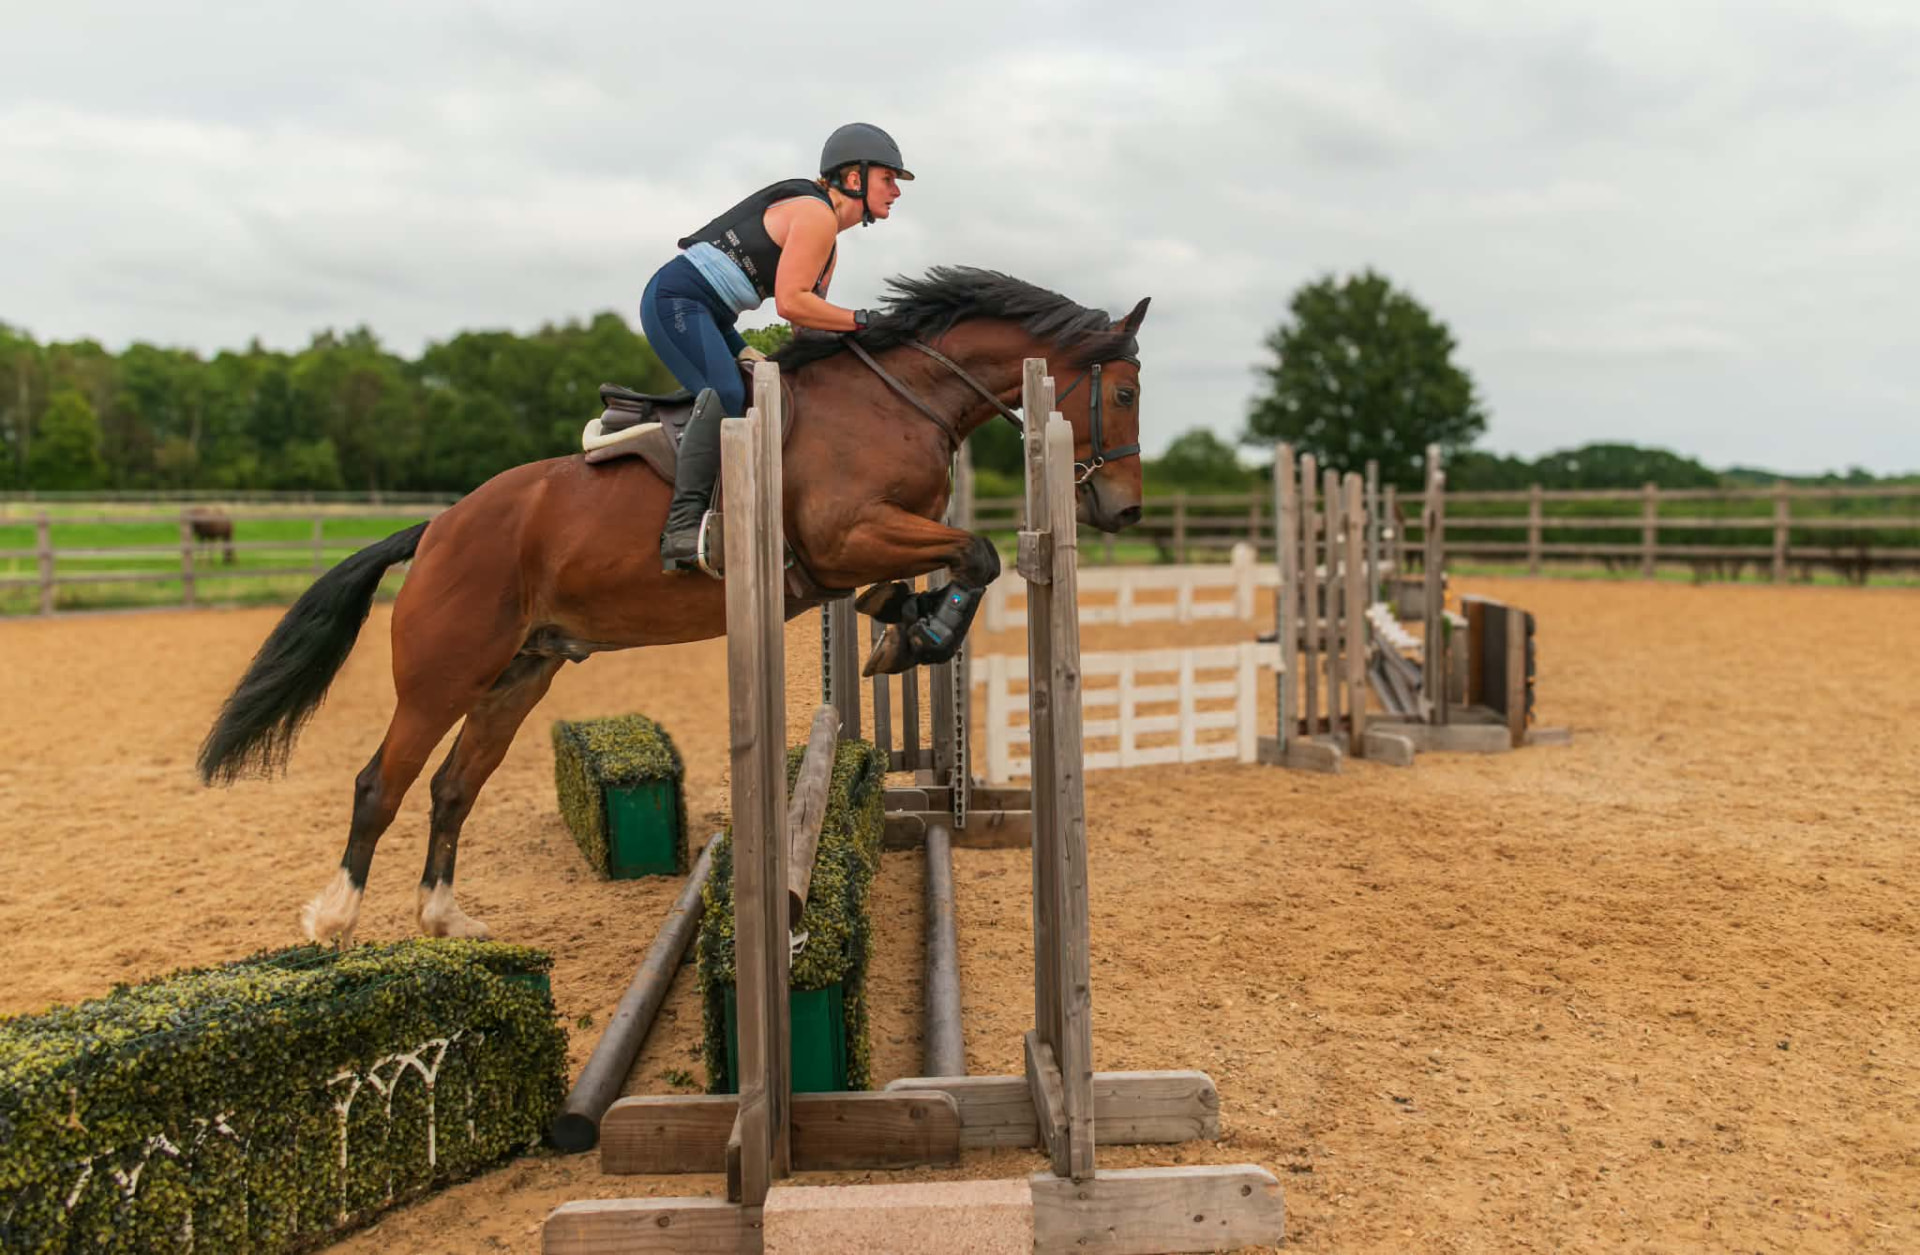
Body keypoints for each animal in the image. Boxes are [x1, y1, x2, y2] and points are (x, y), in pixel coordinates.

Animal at [196, 267, 1150, 946]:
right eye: (1127, 393)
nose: (1125, 512)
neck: (894, 396)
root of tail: (436, 528)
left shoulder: (864, 552)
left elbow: (930, 577)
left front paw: (904, 637)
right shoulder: (849, 536)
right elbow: (978, 552)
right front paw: (925, 633)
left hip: (520, 675)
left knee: (453, 786)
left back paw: (442, 915)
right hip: (442, 676)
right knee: (379, 785)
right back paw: (335, 918)